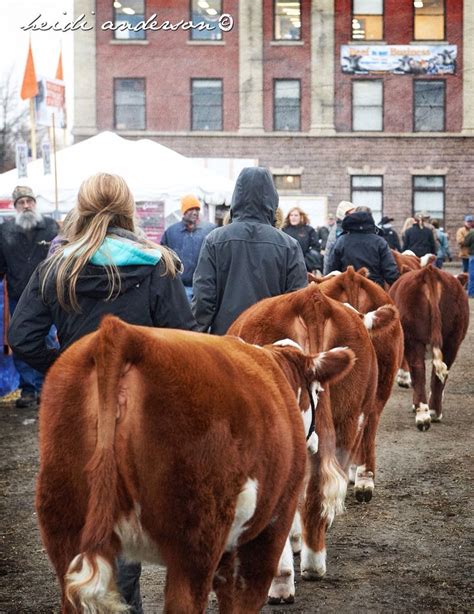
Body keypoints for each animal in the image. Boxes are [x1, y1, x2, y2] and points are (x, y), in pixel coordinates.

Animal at [37, 316, 354, 612]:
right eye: (317, 392)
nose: (313, 442)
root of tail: (121, 333)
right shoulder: (273, 520)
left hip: (65, 528)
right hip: (197, 536)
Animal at [388, 268, 470, 430]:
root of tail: (430, 272)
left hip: (414, 339)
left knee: (419, 371)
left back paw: (423, 415)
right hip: (451, 340)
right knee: (438, 373)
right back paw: (433, 412)